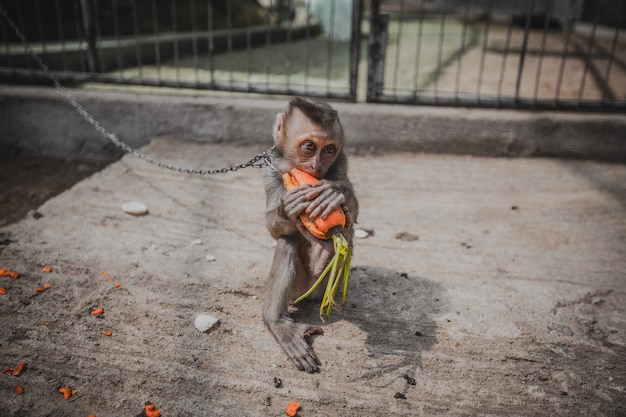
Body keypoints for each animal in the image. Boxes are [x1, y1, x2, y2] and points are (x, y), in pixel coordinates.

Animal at [262, 98, 358, 374]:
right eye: (309, 147)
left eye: (329, 150)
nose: (316, 167)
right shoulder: (271, 172)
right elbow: (273, 226)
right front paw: (288, 208)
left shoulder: (341, 161)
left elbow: (353, 210)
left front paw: (335, 192)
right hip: (299, 289)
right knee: (287, 241)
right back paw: (277, 322)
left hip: (324, 289)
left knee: (347, 230)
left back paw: (324, 253)